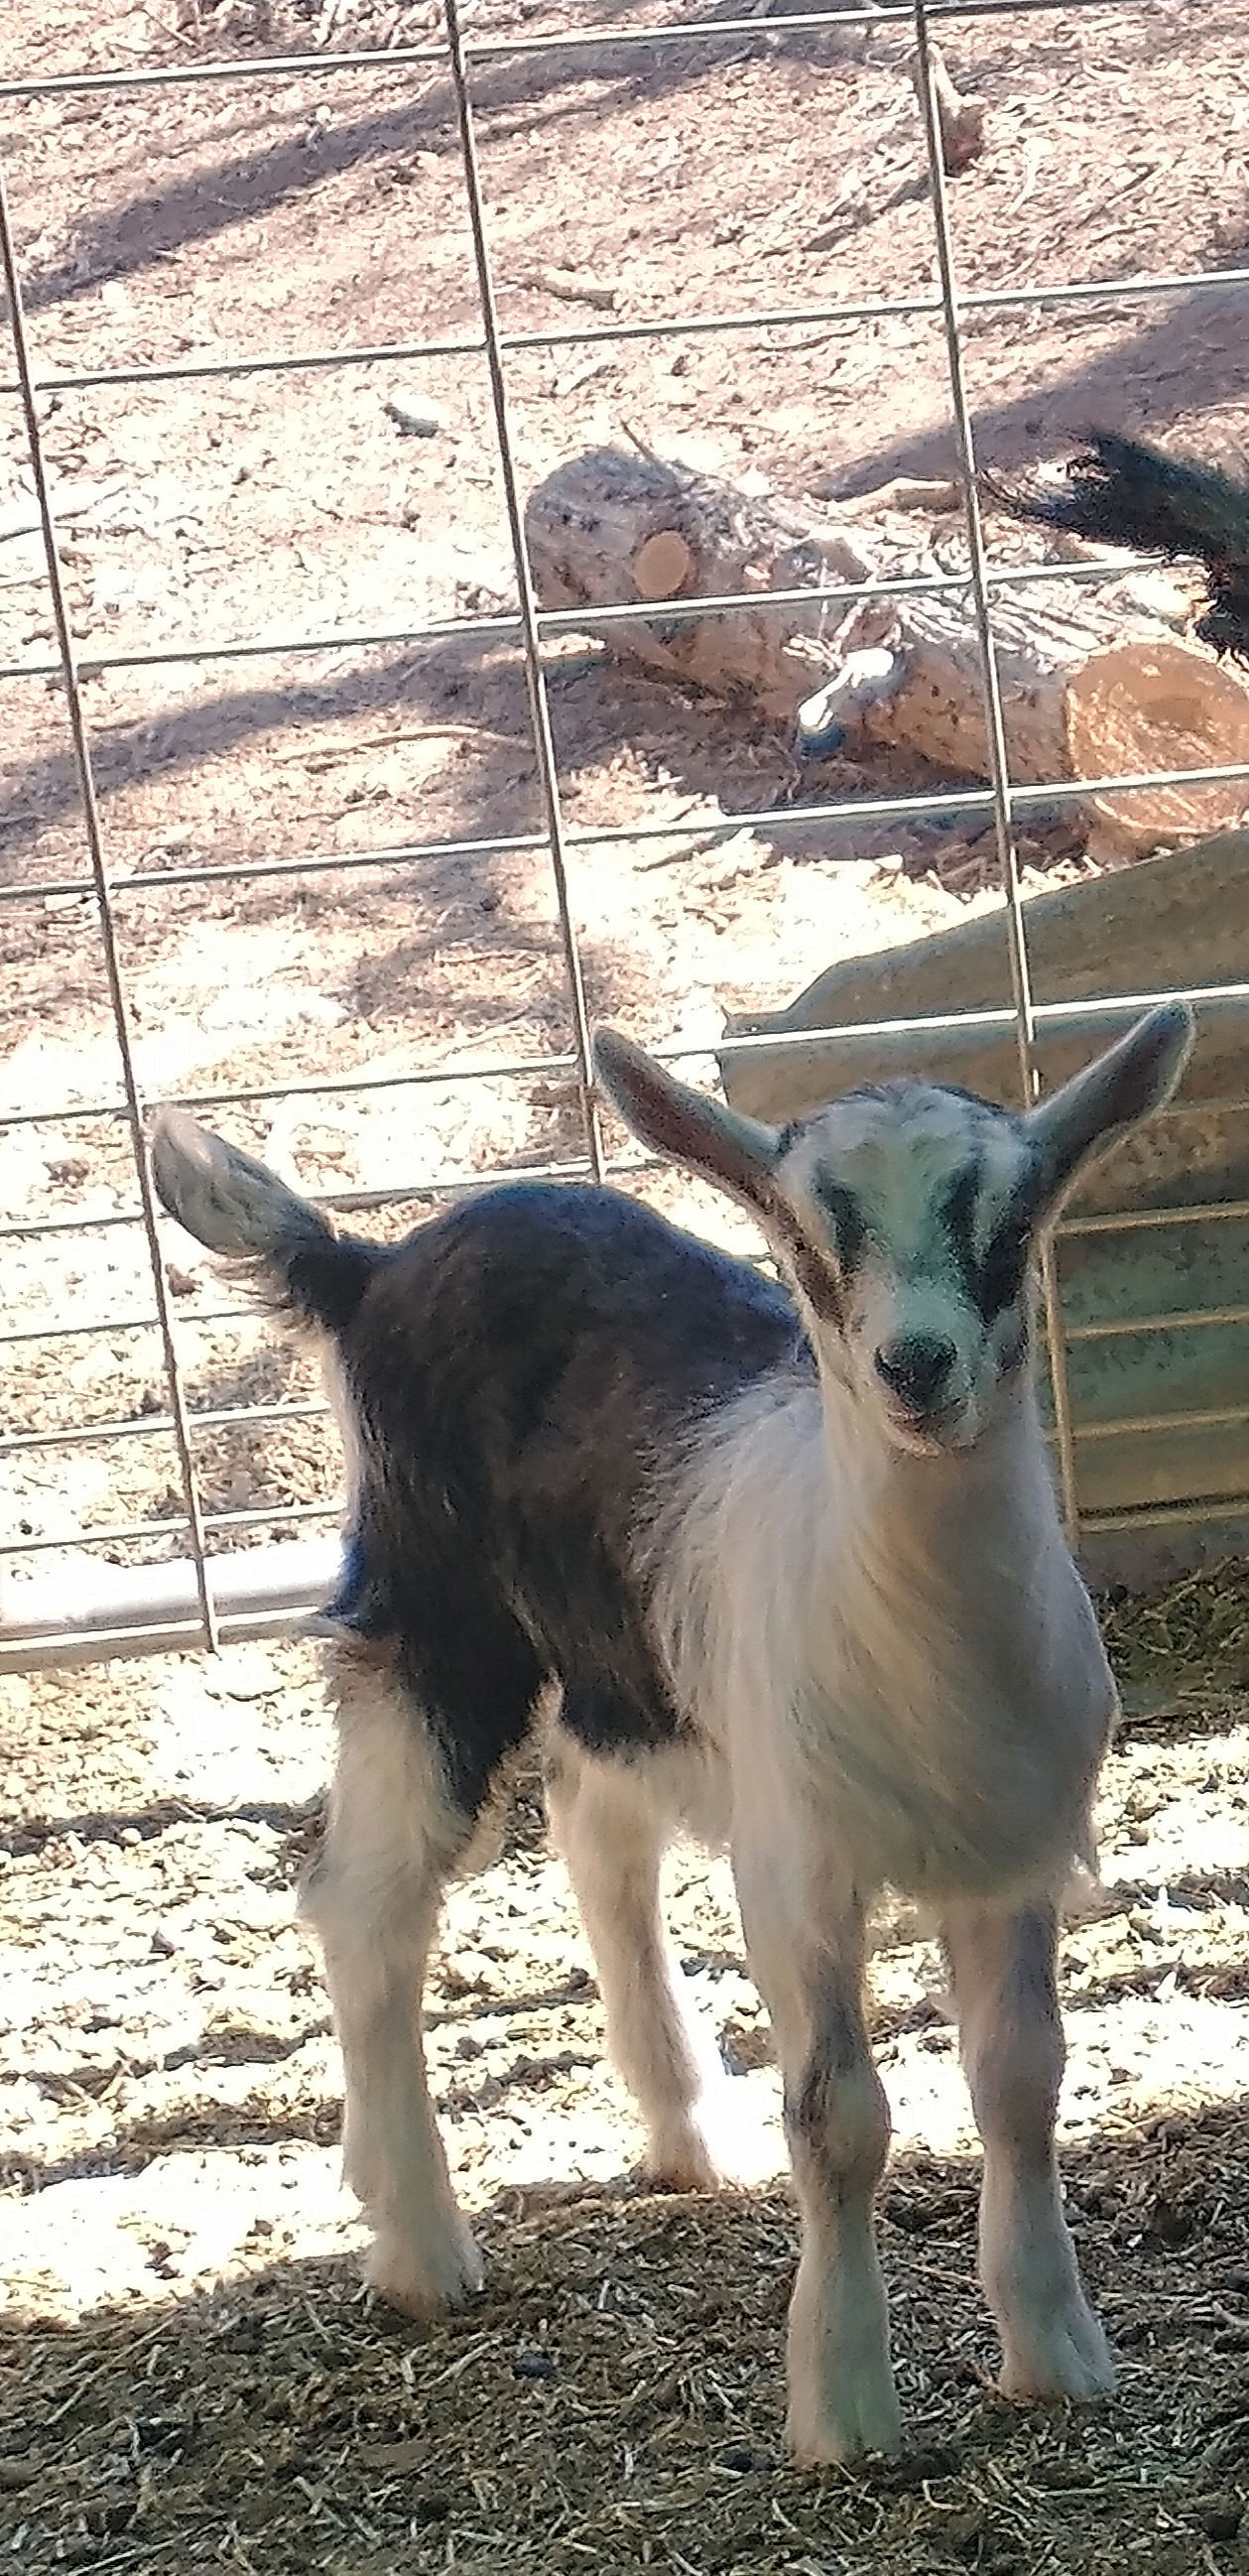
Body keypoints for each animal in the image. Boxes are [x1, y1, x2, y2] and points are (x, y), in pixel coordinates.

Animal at [149, 1000, 1192, 2463]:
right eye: (805, 1244)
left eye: (1011, 1219)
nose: (913, 1367)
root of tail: (372, 1263)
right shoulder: (796, 1867)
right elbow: (838, 2117)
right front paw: (844, 2407)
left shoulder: (1006, 1850)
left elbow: (1019, 2081)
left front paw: (1053, 2352)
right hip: (431, 1626)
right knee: (365, 1904)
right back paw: (419, 2247)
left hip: (622, 1671)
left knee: (595, 1834)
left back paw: (685, 2129)